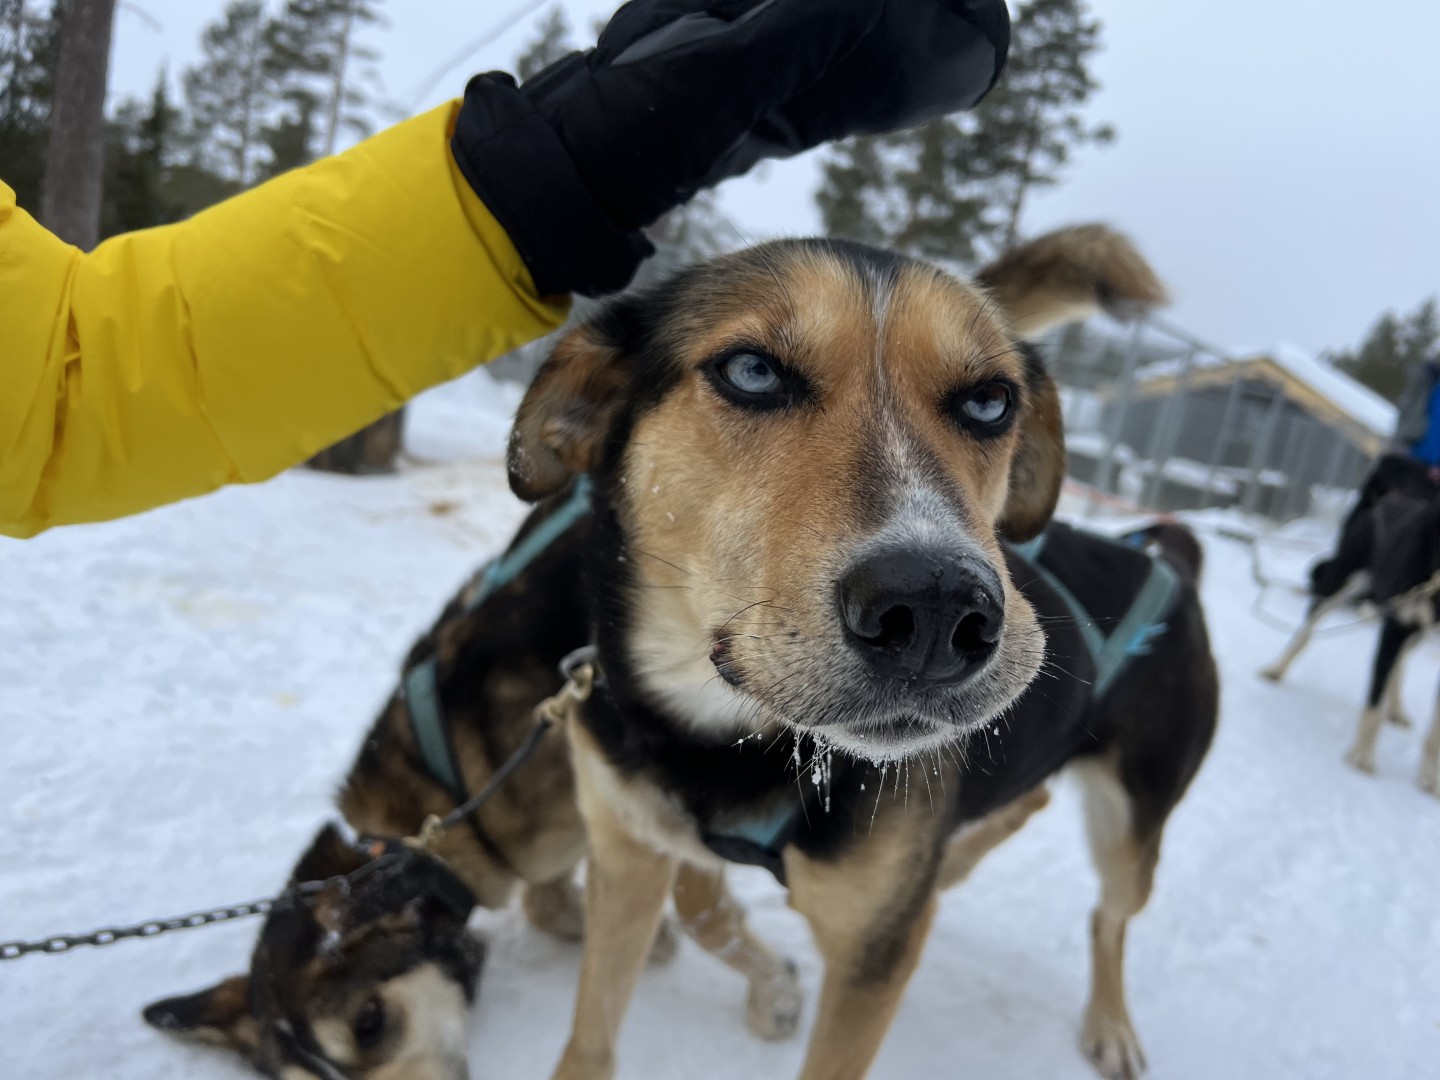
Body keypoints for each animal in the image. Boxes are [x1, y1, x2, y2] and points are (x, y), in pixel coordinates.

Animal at [498, 228, 1212, 1080]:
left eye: (989, 401)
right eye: (752, 371)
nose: (938, 610)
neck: (720, 739)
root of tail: (1173, 566)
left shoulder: (873, 958)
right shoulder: (627, 853)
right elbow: (595, 1032)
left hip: (1134, 825)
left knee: (1110, 915)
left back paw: (1108, 1021)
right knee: (1026, 806)